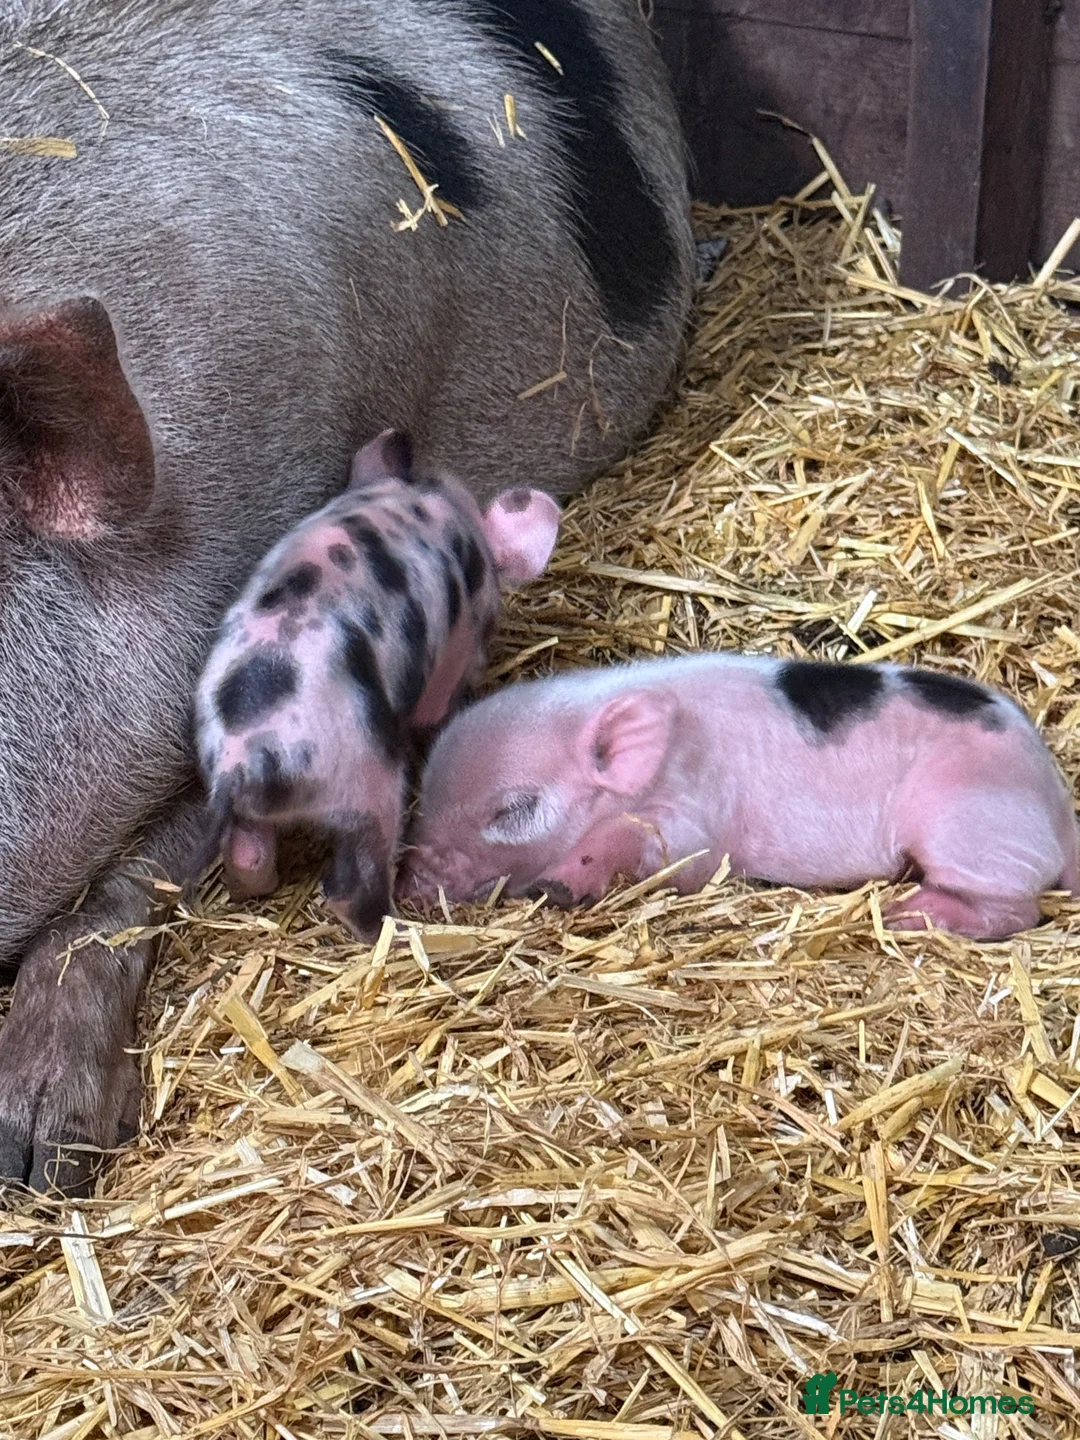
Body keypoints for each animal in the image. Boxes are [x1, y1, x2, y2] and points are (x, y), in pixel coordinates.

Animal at [194, 429, 561, 936]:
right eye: (489, 628)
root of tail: (240, 763)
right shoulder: (456, 648)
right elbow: (437, 706)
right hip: (364, 781)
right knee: (354, 879)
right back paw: (394, 925)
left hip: (256, 804)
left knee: (250, 857)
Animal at [400, 654, 1079, 941]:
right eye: (422, 797)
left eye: (514, 810)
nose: (409, 880)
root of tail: (1056, 798)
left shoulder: (697, 817)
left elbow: (658, 845)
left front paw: (559, 887)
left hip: (966, 824)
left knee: (1018, 910)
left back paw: (910, 913)